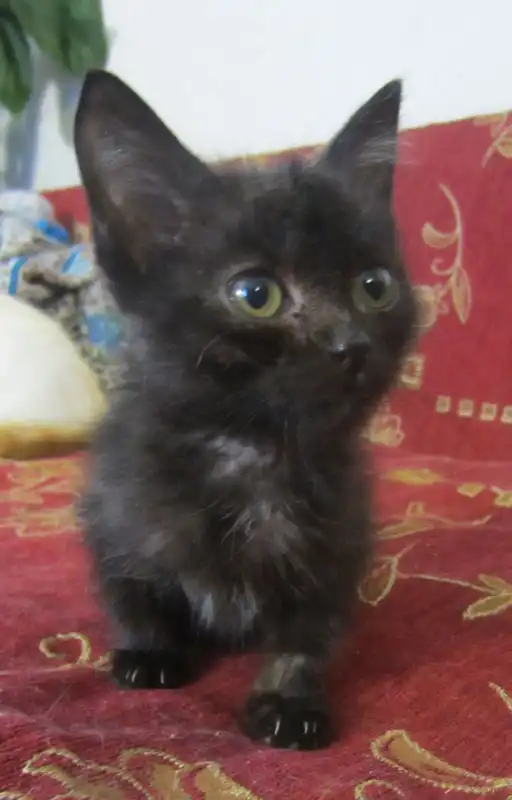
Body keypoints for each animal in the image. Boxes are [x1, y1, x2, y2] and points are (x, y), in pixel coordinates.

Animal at [75, 70, 416, 750]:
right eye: (256, 294)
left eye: (374, 286)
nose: (352, 345)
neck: (251, 451)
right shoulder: (109, 512)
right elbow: (130, 591)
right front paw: (149, 650)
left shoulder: (340, 540)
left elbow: (309, 631)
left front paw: (287, 697)